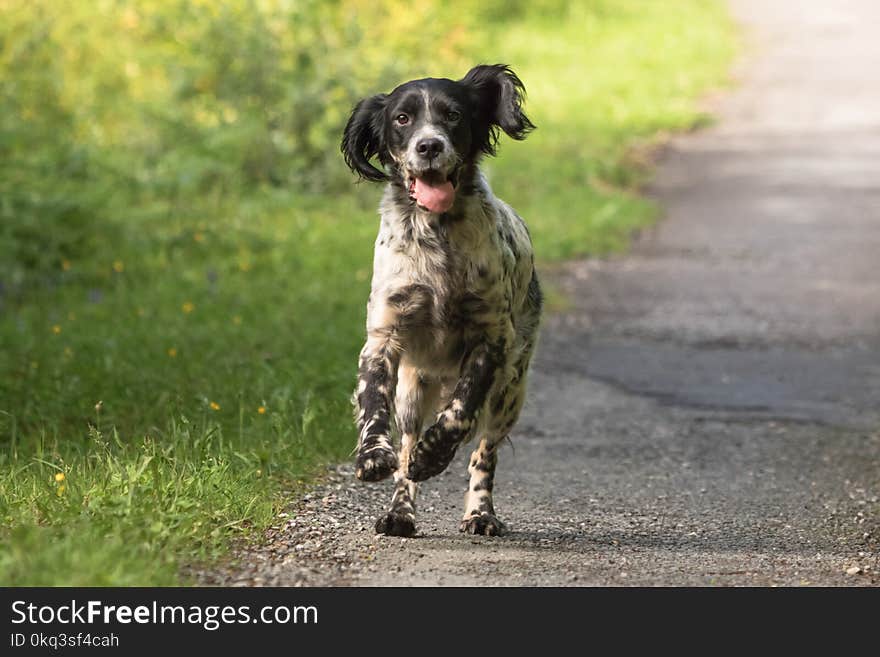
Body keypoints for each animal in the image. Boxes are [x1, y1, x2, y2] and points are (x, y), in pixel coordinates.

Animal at [338, 64, 540, 536]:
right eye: (402, 119)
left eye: (453, 115)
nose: (429, 146)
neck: (437, 233)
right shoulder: (384, 336)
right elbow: (373, 403)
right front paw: (372, 456)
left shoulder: (492, 339)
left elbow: (460, 411)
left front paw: (434, 455)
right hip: (413, 390)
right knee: (406, 450)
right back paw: (399, 512)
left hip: (511, 390)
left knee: (484, 451)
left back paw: (480, 513)